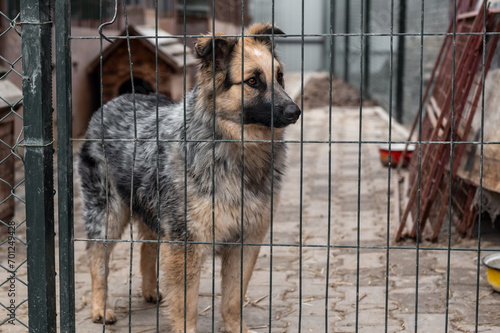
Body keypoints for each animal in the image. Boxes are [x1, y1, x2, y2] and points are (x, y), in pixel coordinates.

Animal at [79, 22, 300, 330]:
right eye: (253, 81)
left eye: (279, 77)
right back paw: (101, 308)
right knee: (97, 258)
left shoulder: (245, 241)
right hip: (107, 213)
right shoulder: (187, 244)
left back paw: (150, 291)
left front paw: (236, 328)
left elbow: (232, 300)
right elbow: (187, 306)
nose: (295, 111)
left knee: (147, 248)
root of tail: (123, 96)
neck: (233, 147)